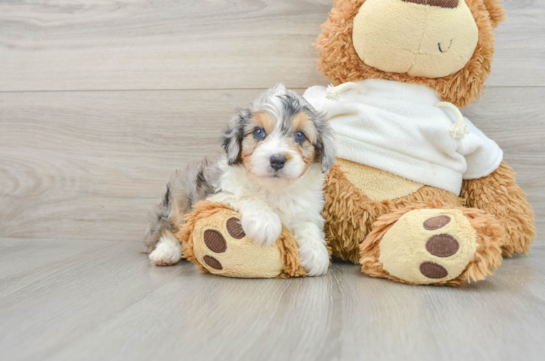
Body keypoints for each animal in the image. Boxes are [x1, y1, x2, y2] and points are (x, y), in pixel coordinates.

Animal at [142, 84, 334, 276]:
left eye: (300, 135)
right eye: (258, 132)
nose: (277, 160)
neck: (274, 189)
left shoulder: (307, 207)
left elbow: (308, 223)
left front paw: (316, 253)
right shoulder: (213, 196)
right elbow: (246, 196)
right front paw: (265, 223)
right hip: (178, 197)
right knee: (167, 229)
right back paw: (166, 252)